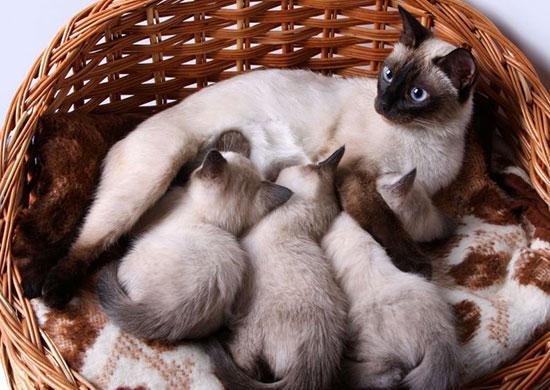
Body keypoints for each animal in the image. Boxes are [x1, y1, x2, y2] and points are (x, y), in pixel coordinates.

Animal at [40, 6, 478, 308]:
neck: (429, 138)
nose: (382, 105)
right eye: (388, 76)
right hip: (147, 182)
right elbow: (385, 221)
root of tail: (118, 139)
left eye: (416, 94)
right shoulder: (356, 177)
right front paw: (415, 263)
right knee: (86, 243)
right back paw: (50, 294)